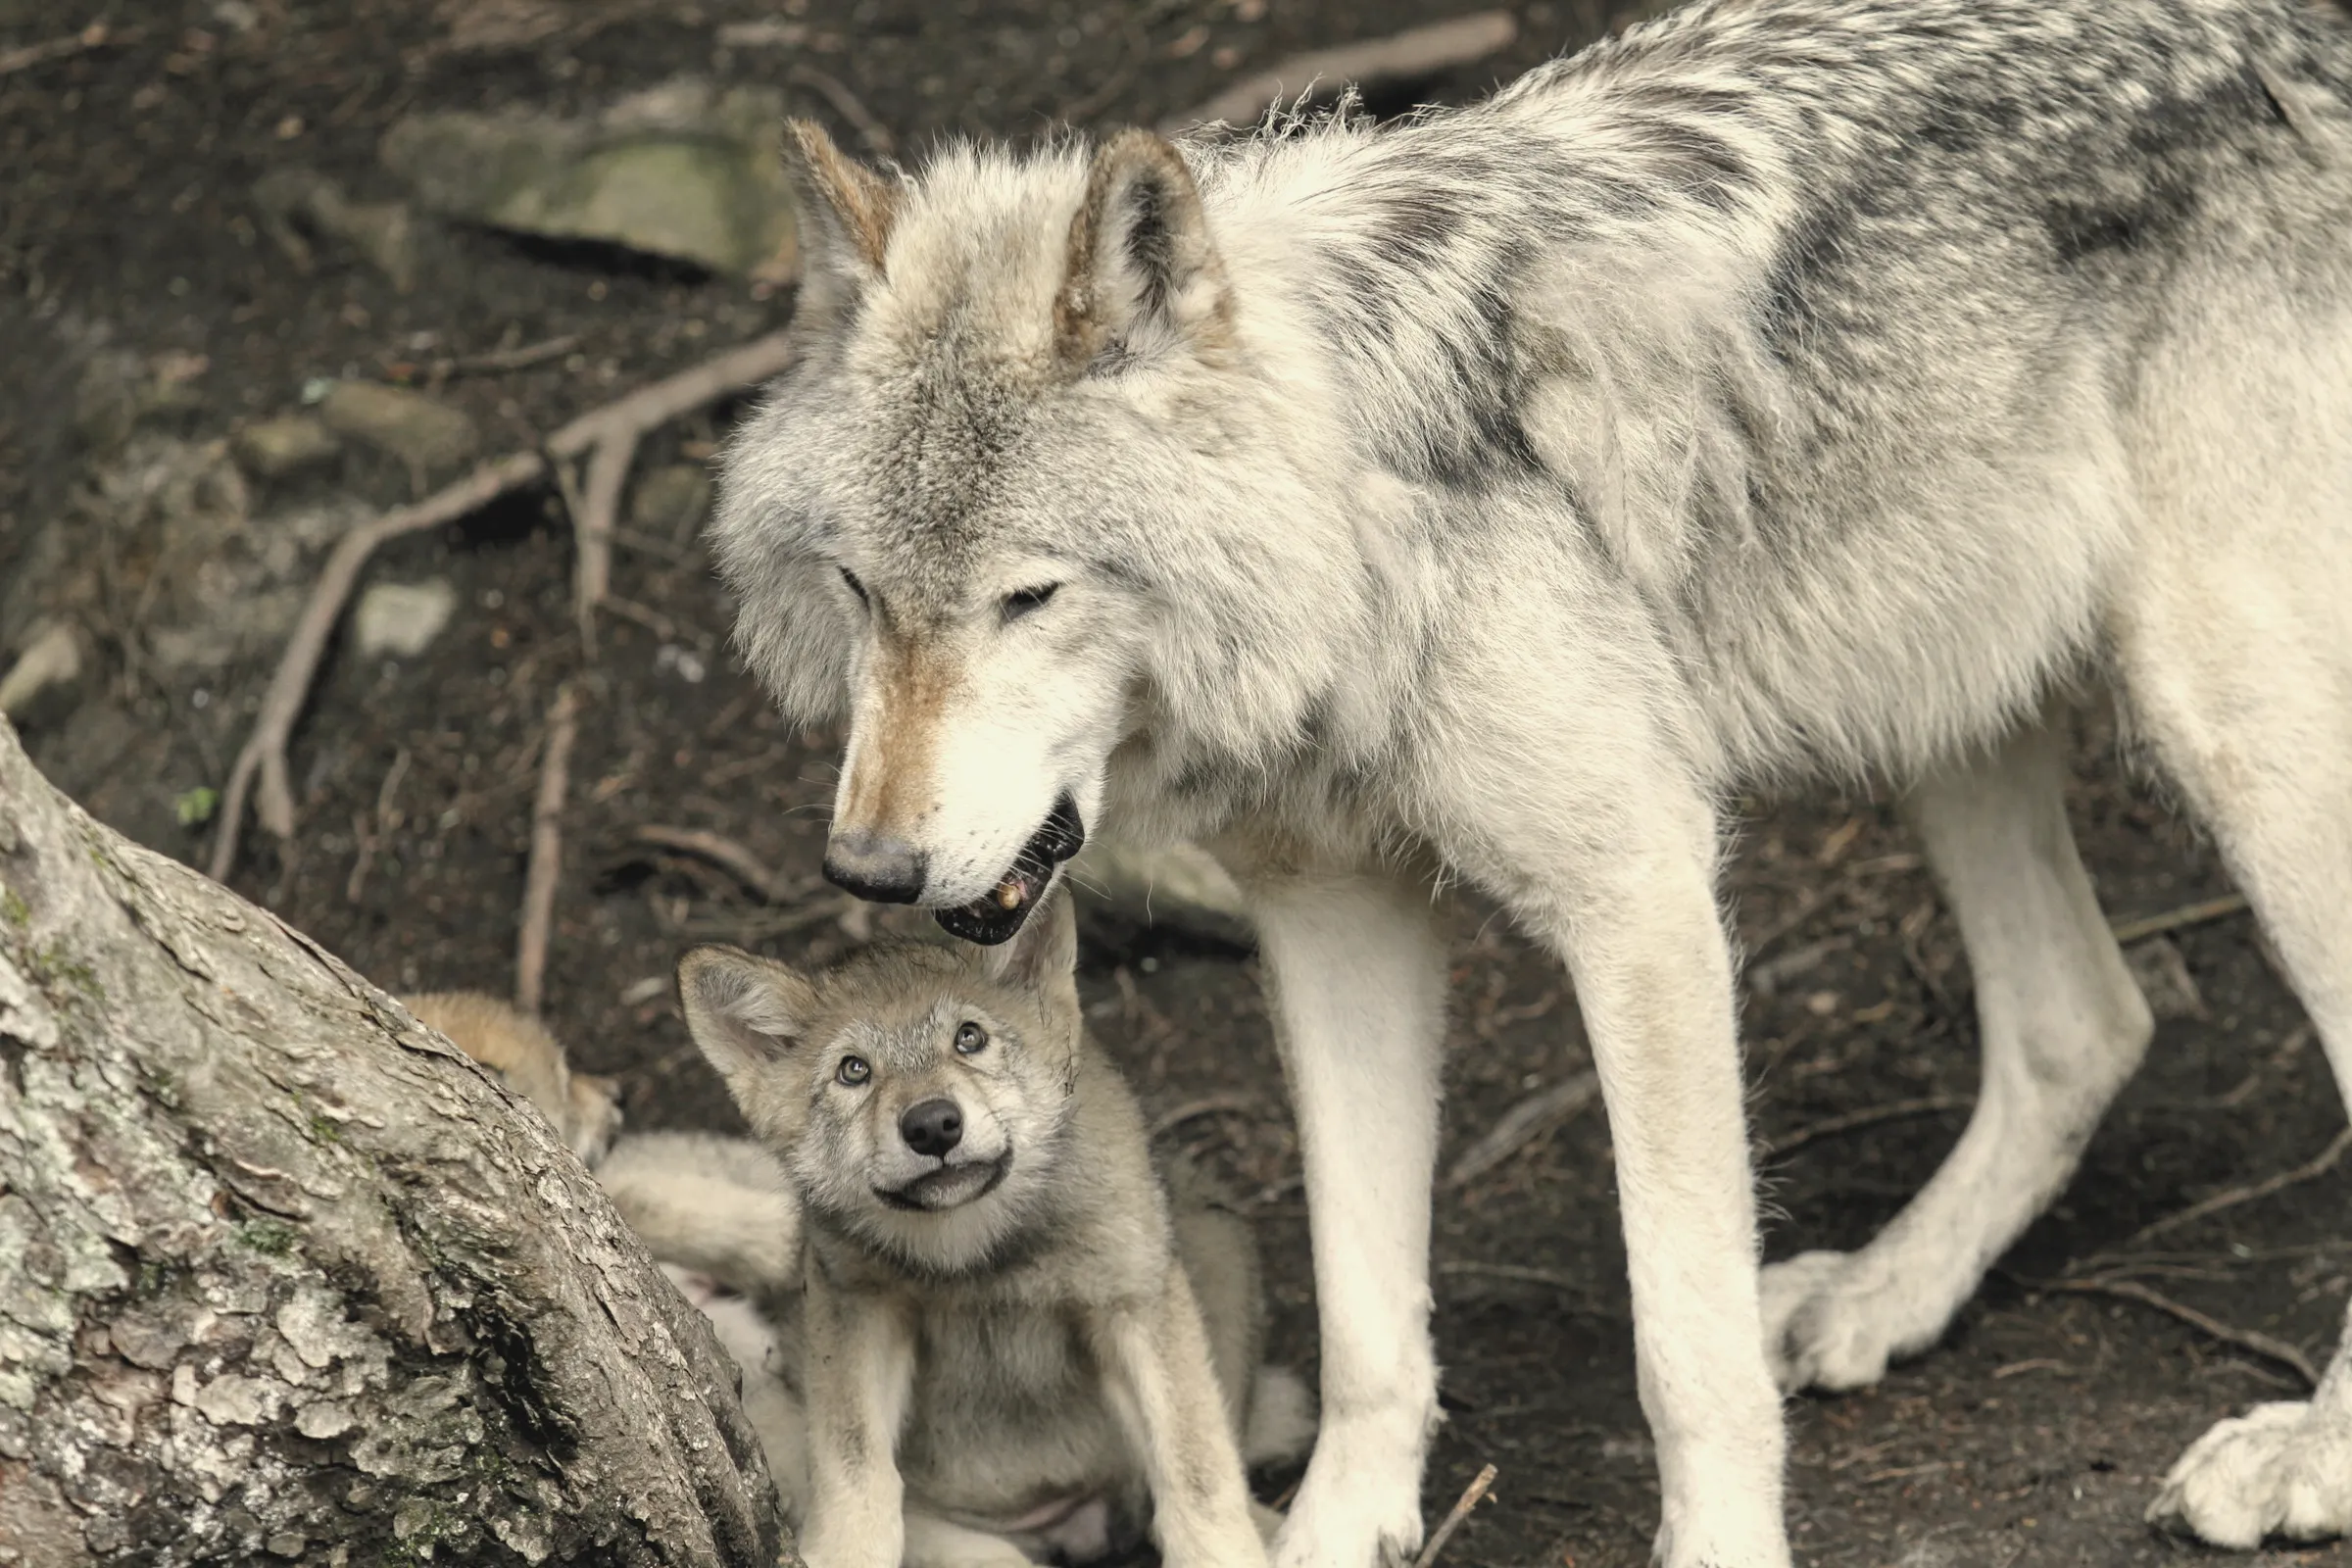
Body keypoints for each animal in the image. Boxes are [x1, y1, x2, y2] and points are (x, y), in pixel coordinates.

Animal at [674, 890, 1314, 1567]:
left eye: (969, 1038)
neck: (976, 1256)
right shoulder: (856, 1304)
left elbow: (1197, 1470)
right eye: (853, 1071)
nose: (932, 1125)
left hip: (1214, 1241)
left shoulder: (1131, 1300)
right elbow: (854, 1466)